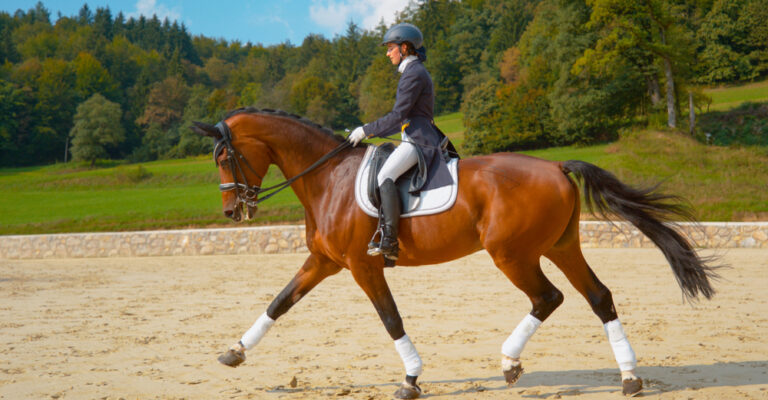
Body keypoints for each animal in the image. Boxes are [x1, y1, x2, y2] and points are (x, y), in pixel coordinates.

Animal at [191, 108, 718, 399]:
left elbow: (391, 319)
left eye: (223, 156)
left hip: (512, 254)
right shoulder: (324, 263)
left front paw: (410, 380)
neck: (328, 178)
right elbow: (279, 302)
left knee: (548, 298)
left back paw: (509, 363)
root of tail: (556, 166)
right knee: (599, 297)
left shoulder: (363, 266)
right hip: (560, 246)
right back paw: (629, 378)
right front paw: (234, 352)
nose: (232, 212)